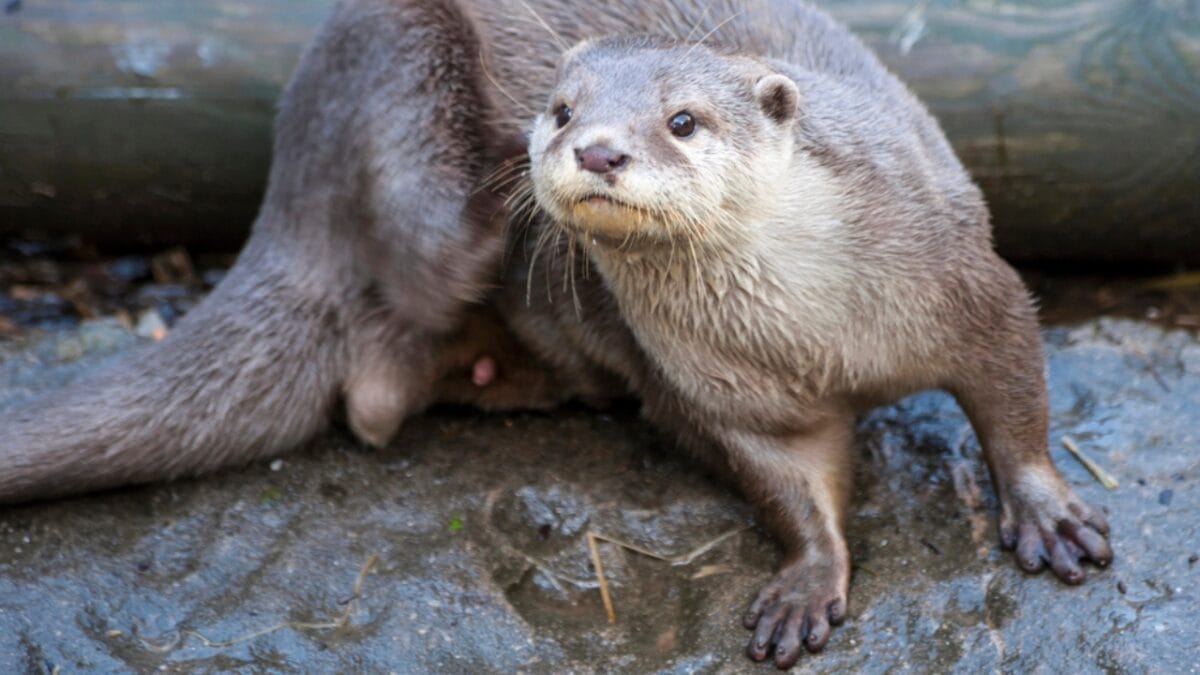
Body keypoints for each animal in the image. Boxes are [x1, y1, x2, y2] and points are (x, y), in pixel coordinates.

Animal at [0, 0, 1111, 668]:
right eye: (563, 107)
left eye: (684, 120)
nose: (600, 148)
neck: (813, 329)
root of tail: (290, 167)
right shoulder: (723, 395)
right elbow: (789, 487)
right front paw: (807, 580)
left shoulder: (968, 278)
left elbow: (1015, 395)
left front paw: (1050, 516)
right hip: (395, 63)